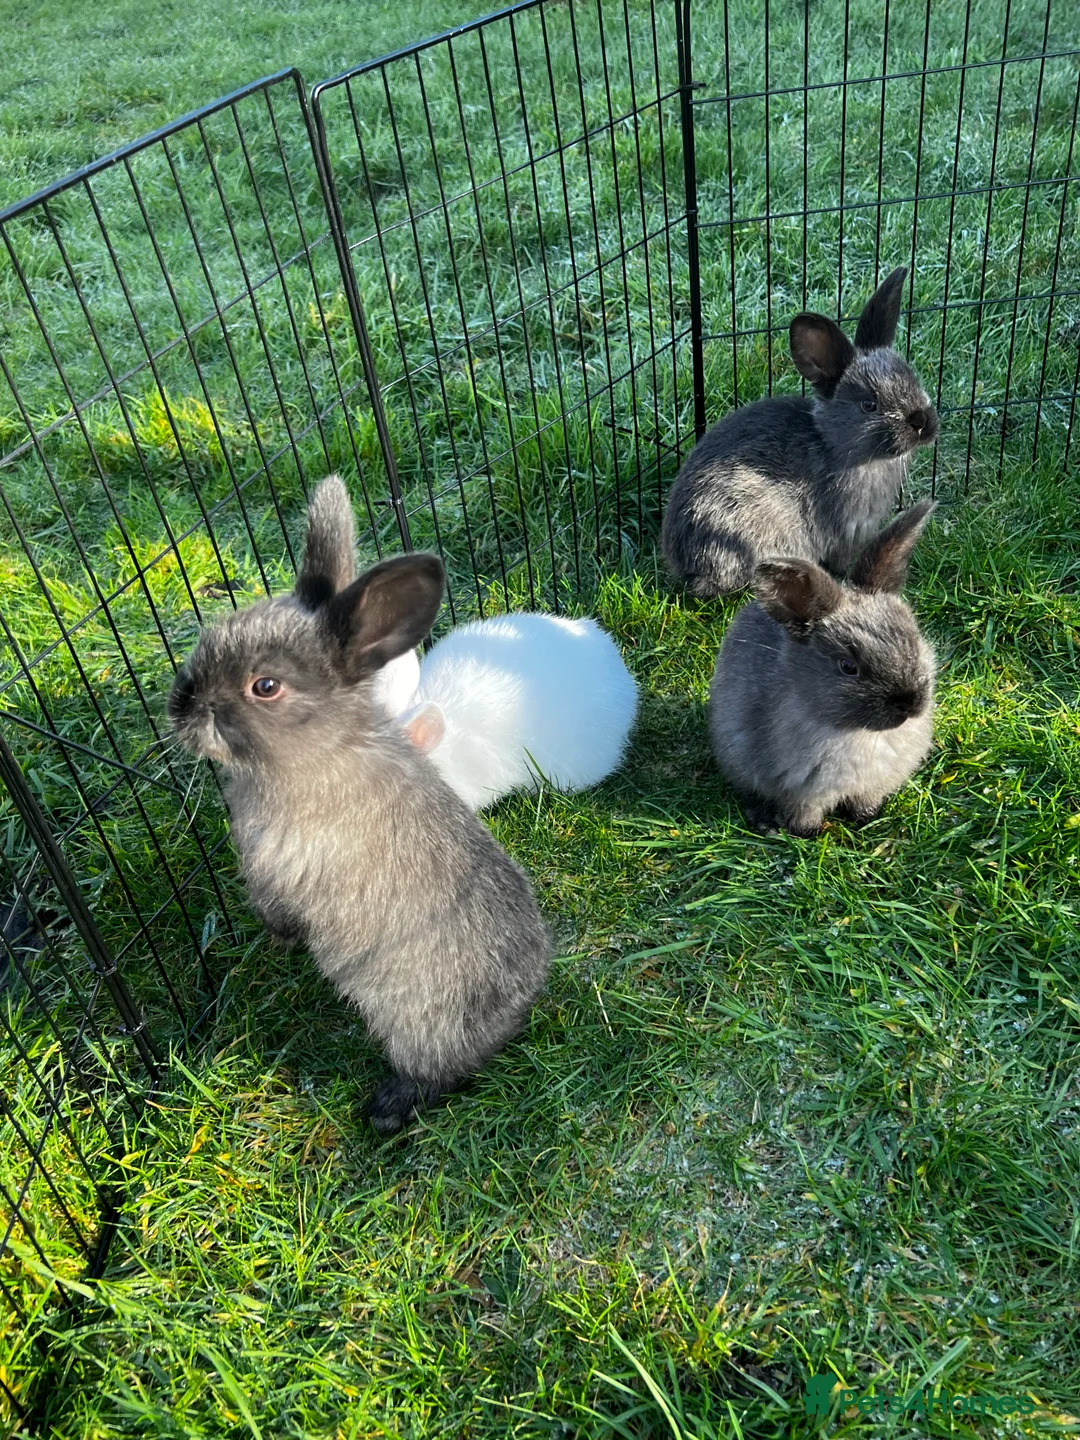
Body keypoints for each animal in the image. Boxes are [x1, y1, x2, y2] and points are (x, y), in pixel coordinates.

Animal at [168, 474, 551, 1135]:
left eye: (264, 686)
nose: (181, 705)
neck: (314, 752)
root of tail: (512, 1014)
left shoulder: (274, 869)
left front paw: (281, 939)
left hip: (413, 1024)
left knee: (437, 1071)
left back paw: (386, 1111)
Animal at [708, 499, 937, 837]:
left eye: (914, 640)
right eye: (848, 667)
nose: (909, 703)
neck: (859, 735)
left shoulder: (872, 786)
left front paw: (866, 819)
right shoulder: (802, 793)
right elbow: (803, 817)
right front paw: (811, 834)